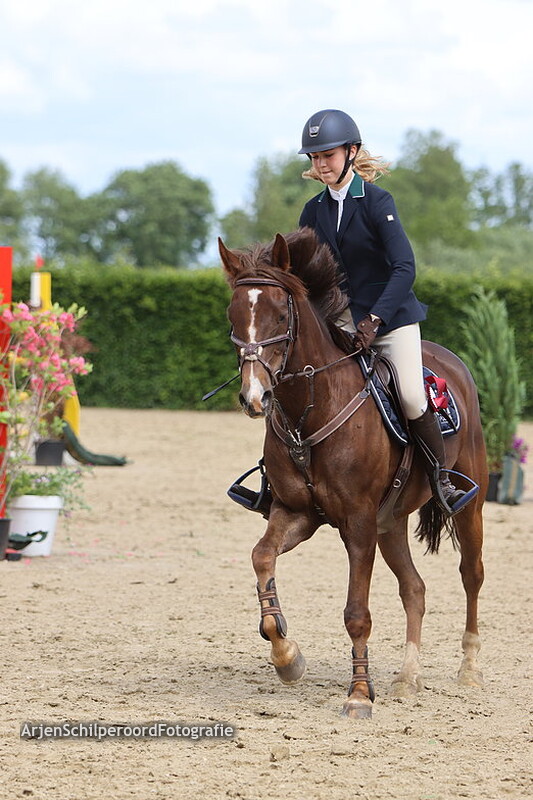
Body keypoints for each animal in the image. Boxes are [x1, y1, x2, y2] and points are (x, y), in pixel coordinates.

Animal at [218, 227, 487, 719]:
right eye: (233, 316)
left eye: (279, 314)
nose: (254, 397)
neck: (310, 408)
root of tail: (450, 361)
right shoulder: (296, 513)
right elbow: (261, 557)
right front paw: (286, 656)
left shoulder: (357, 523)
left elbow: (356, 613)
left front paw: (360, 694)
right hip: (390, 521)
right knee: (414, 589)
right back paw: (407, 679)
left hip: (466, 506)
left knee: (471, 574)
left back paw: (469, 670)